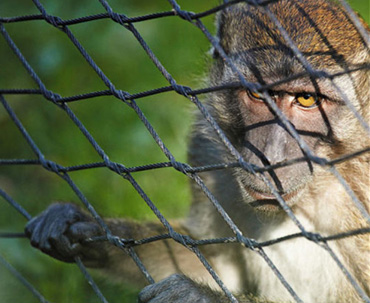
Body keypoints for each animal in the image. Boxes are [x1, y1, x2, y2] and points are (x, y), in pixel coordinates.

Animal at [24, 0, 368, 302]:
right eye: (257, 94)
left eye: (307, 99)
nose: (269, 156)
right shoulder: (208, 148)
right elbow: (219, 265)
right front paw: (88, 230)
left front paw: (195, 296)